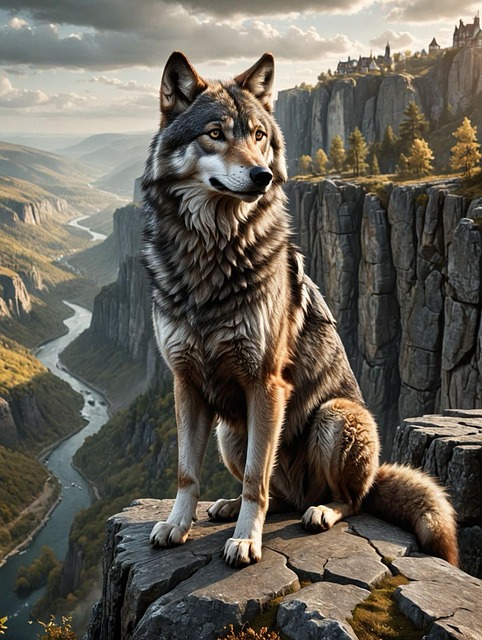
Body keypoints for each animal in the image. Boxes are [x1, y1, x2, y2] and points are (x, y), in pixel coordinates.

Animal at [142, 51, 459, 568]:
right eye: (215, 133)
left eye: (259, 136)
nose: (262, 175)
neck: (211, 254)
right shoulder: (186, 383)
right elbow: (188, 472)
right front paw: (177, 525)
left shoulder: (266, 384)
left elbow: (256, 479)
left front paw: (247, 541)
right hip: (230, 431)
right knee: (279, 494)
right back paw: (228, 506)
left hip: (334, 417)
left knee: (342, 498)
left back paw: (321, 512)